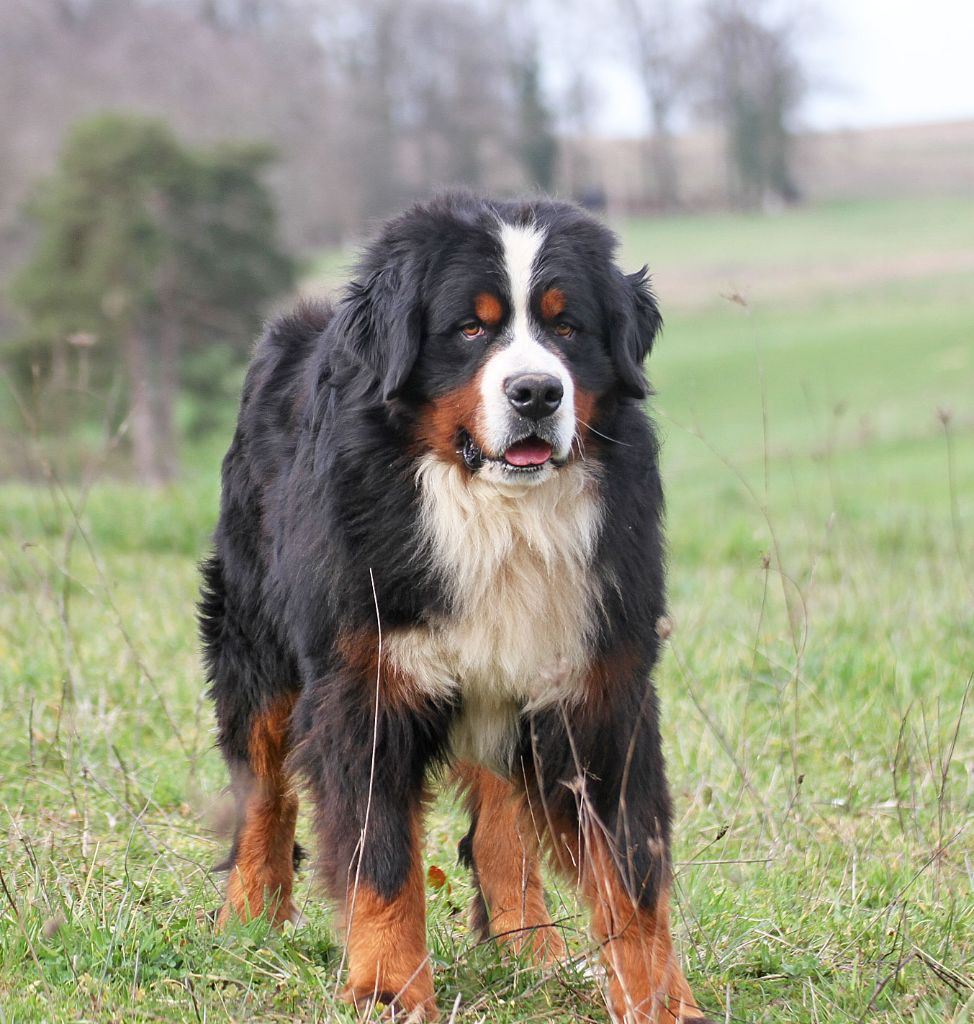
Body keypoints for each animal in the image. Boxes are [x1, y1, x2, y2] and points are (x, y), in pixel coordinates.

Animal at [201, 188, 712, 1019]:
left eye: (567, 326)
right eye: (470, 328)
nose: (536, 392)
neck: (498, 519)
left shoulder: (601, 691)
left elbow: (632, 872)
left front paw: (660, 1001)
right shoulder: (366, 685)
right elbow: (381, 860)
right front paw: (388, 989)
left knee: (504, 826)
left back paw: (531, 949)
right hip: (255, 641)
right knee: (262, 789)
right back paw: (247, 916)